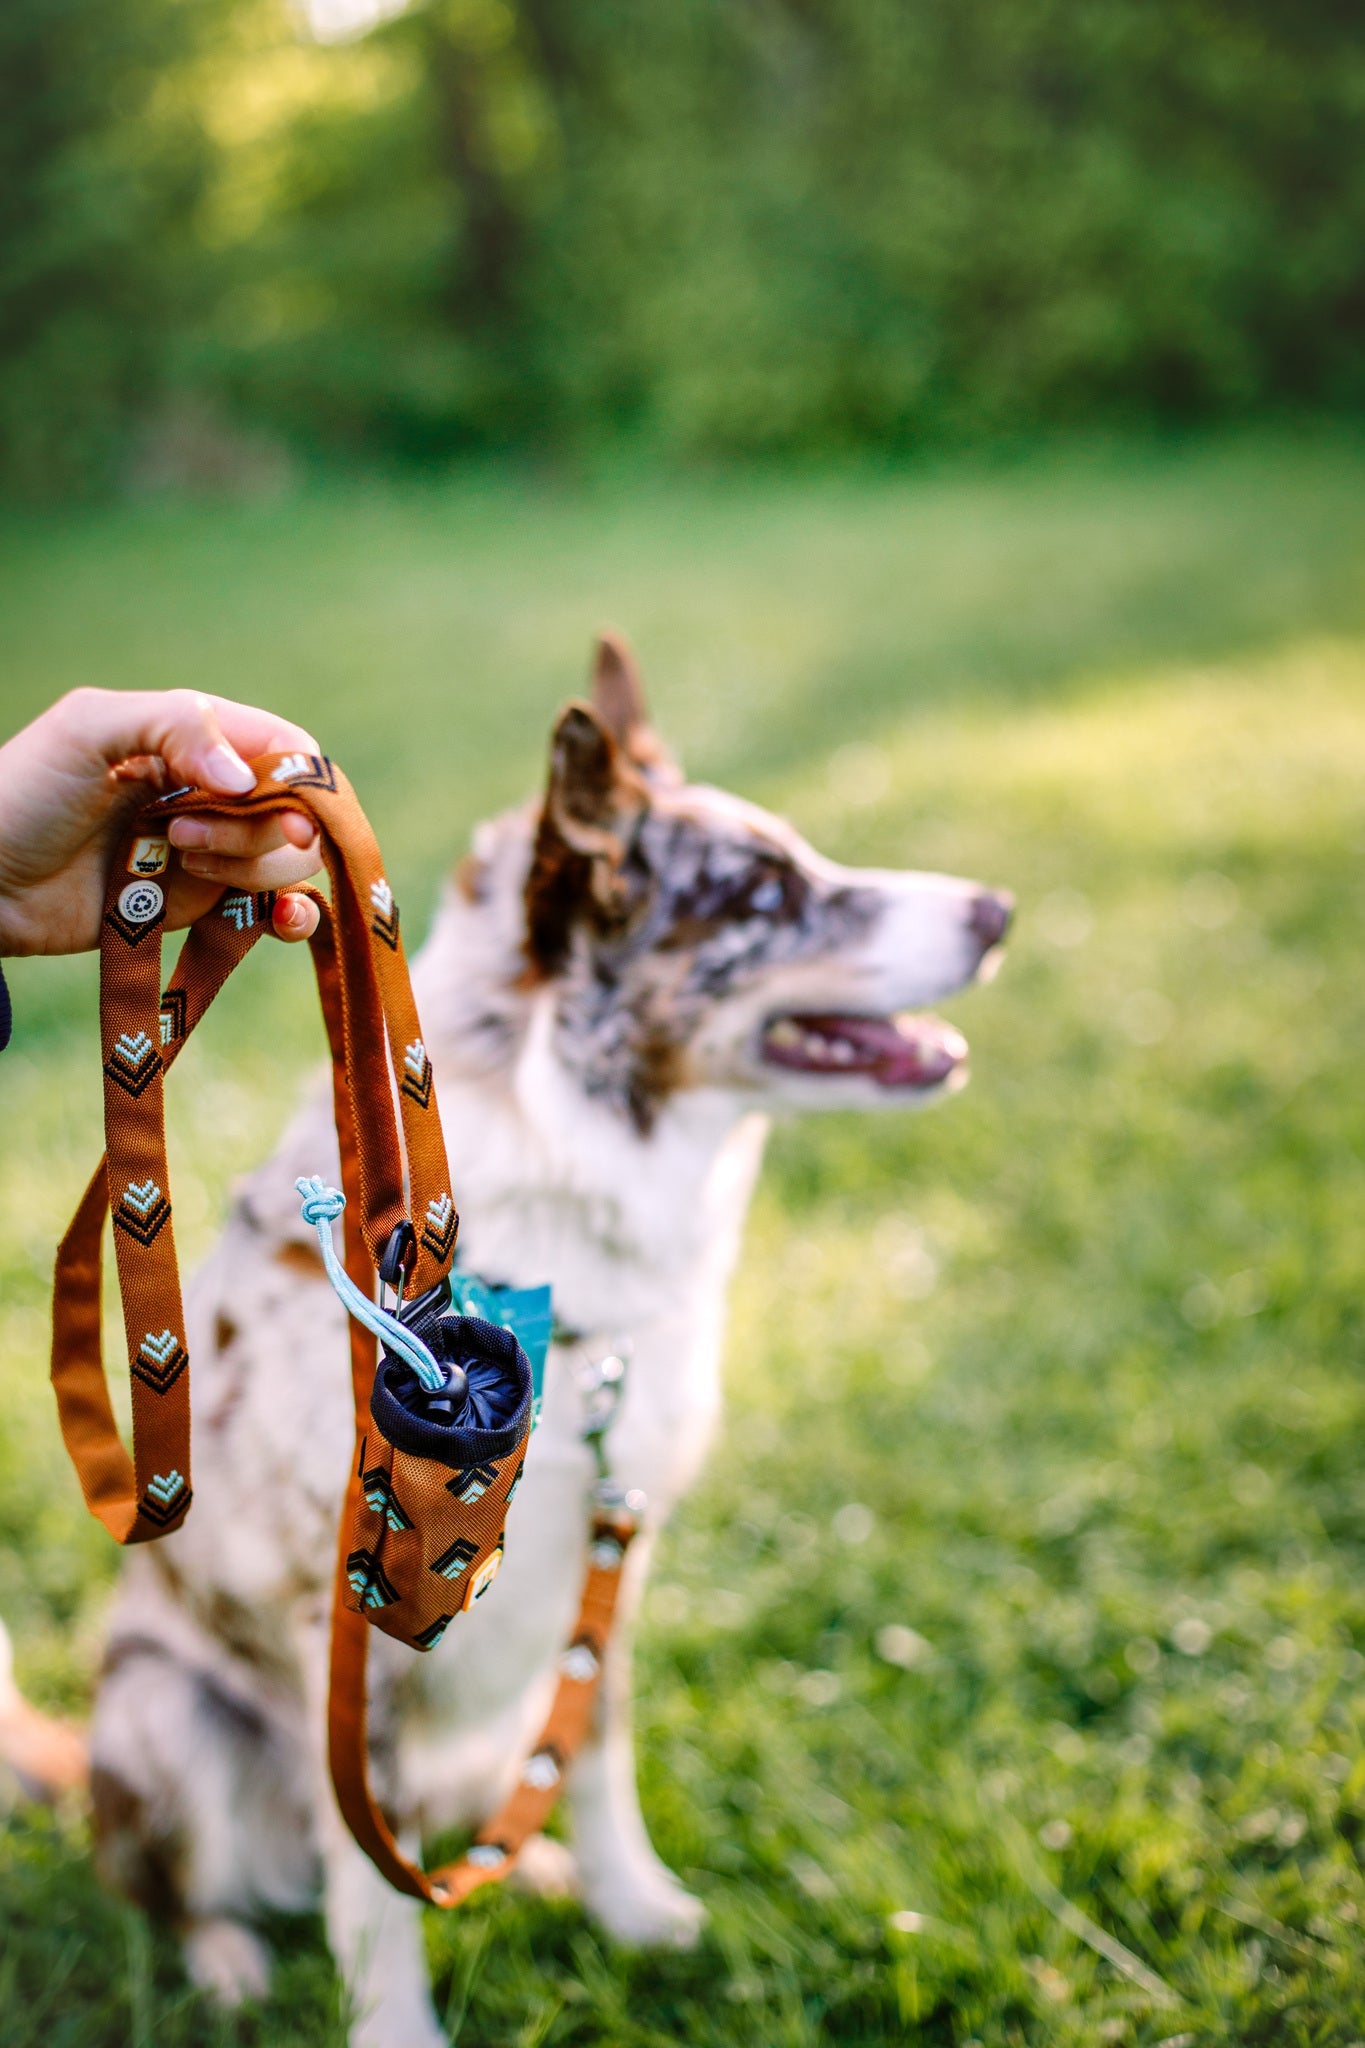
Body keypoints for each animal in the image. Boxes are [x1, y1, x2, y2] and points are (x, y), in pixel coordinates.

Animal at [82, 630, 1002, 2039]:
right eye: (765, 893)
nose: (997, 911)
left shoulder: (610, 1554)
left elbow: (598, 1750)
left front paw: (632, 1906)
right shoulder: (347, 1636)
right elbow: (376, 1889)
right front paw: (397, 2028)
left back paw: (537, 1870)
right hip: (157, 1713)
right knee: (186, 1887)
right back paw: (230, 1961)